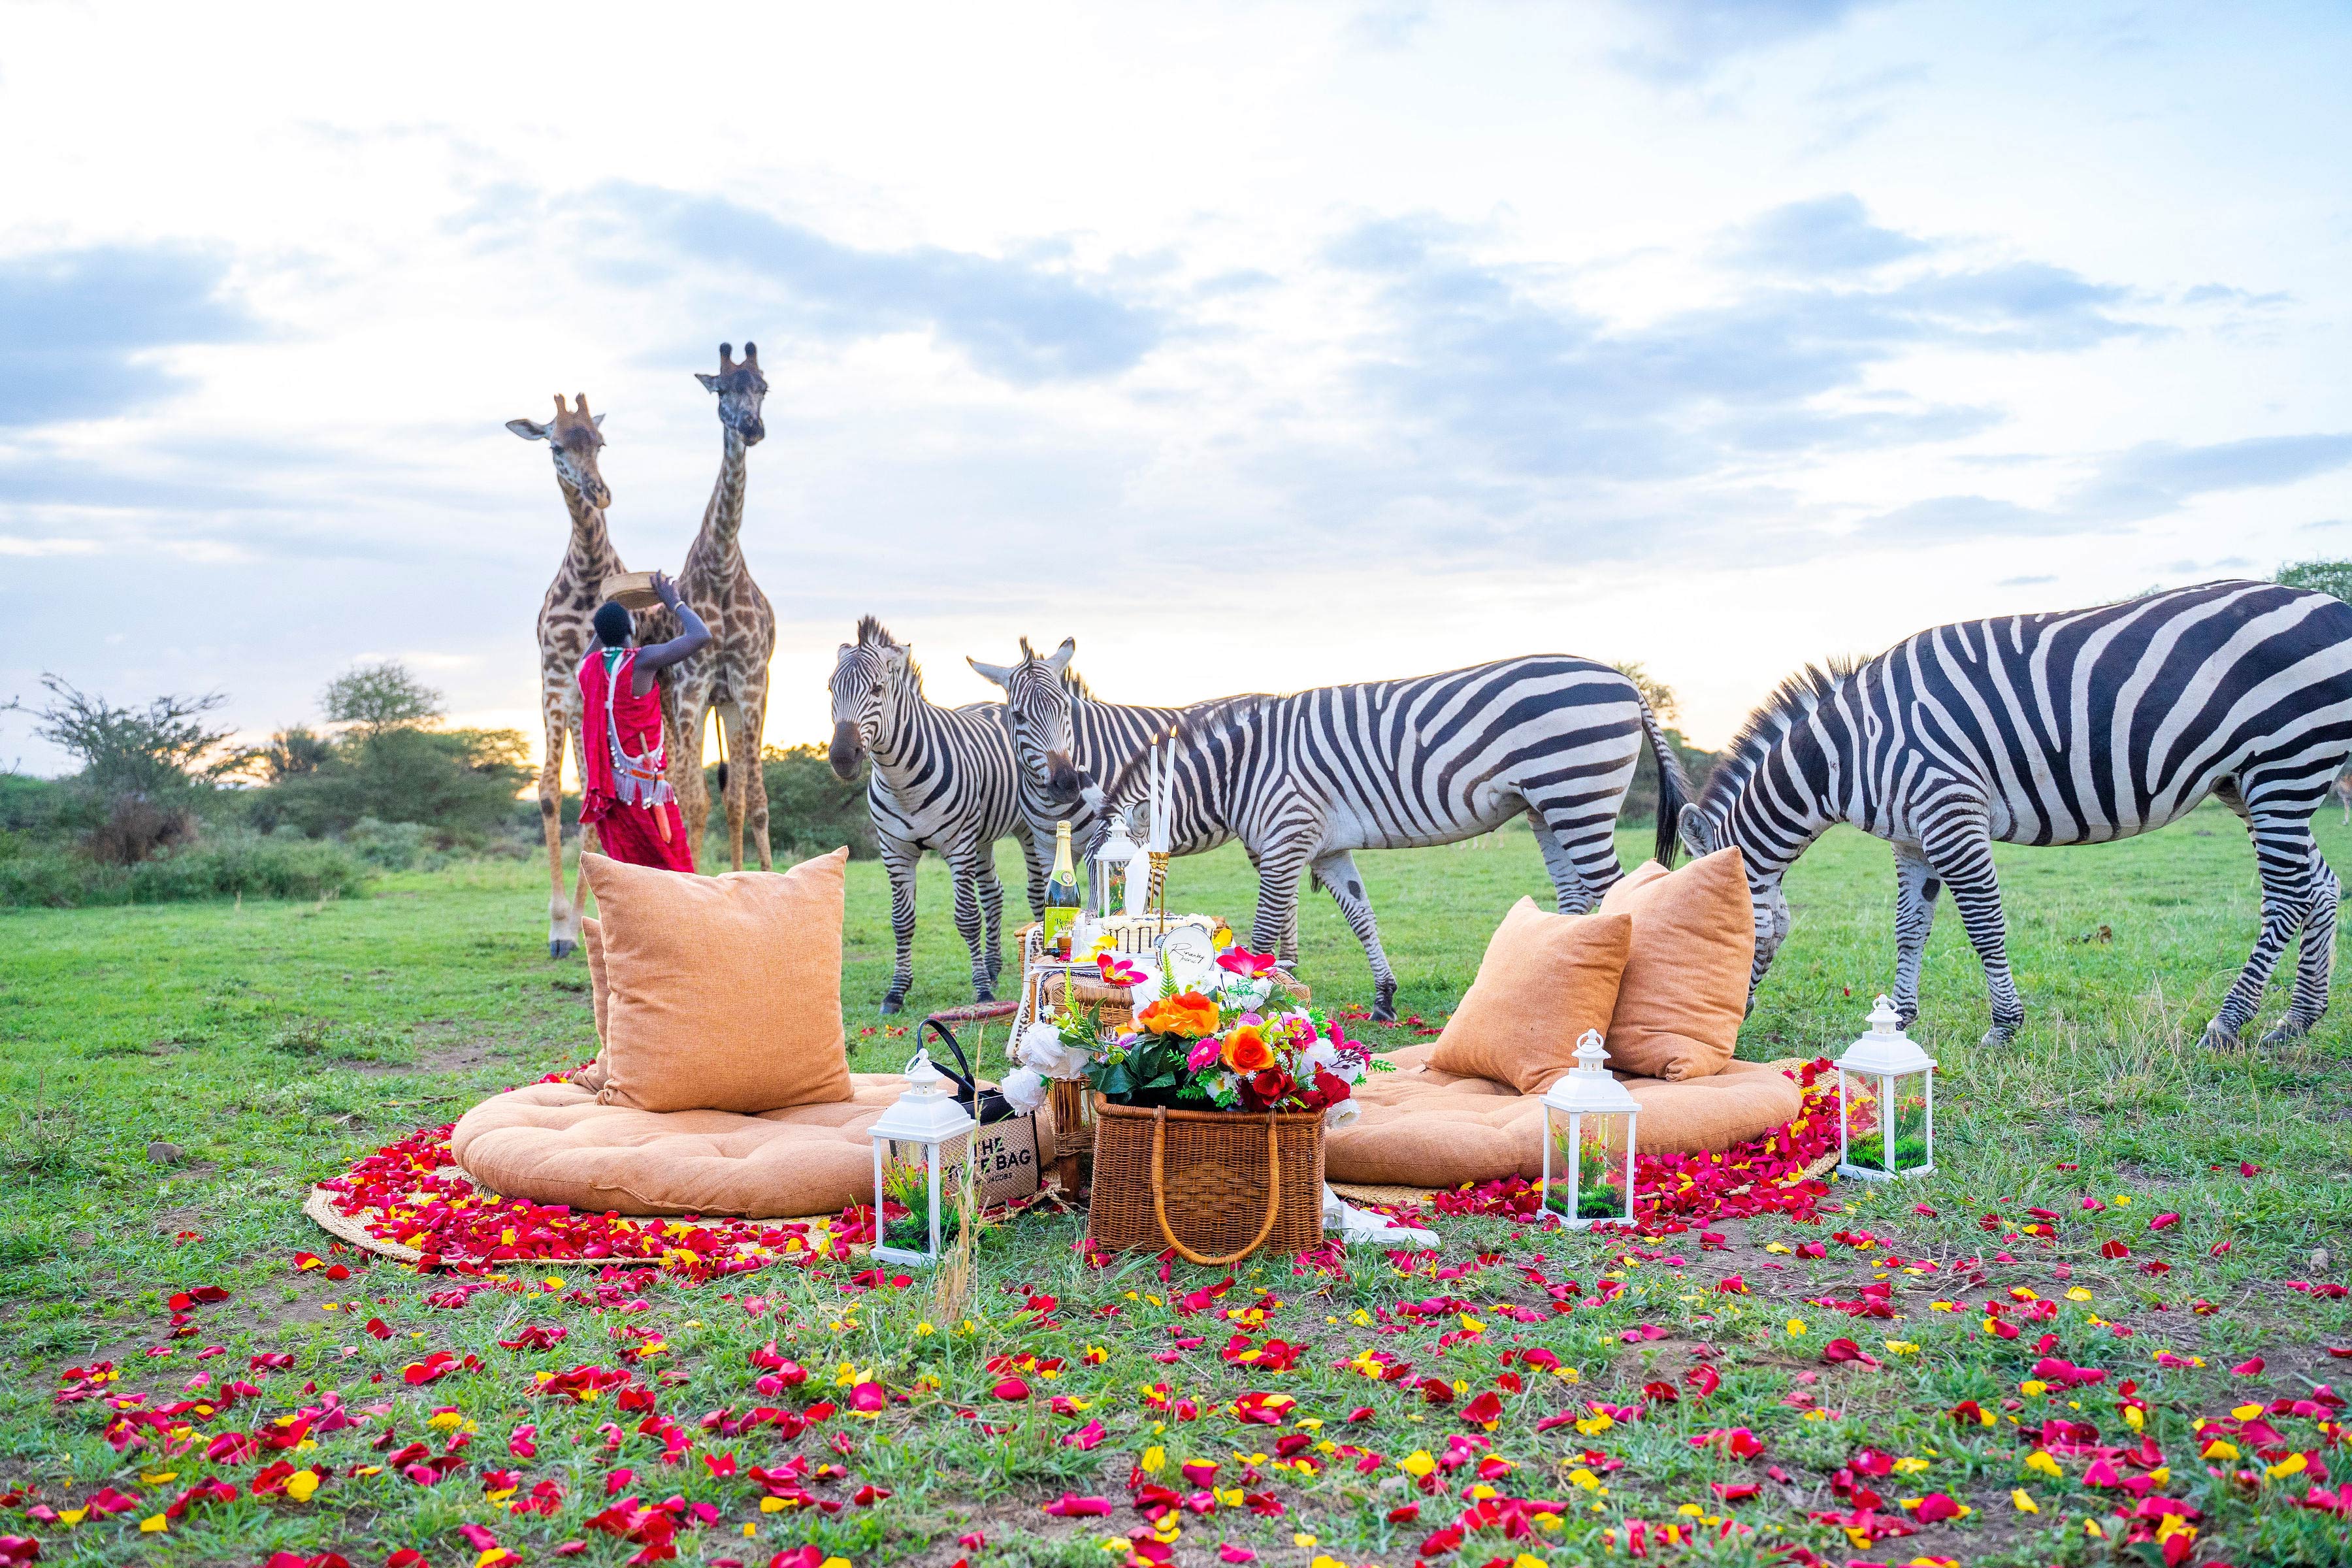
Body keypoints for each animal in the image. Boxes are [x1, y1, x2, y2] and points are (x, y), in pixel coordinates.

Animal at [641, 342, 776, 870]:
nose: (752, 428)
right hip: (674, 705)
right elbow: (694, 800)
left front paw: (762, 878)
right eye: (721, 390)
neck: (721, 567)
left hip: (725, 704)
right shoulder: (691, 687)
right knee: (680, 787)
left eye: (763, 387)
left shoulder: (750, 685)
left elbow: (751, 800)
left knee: (731, 795)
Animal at [829, 617, 1043, 1013]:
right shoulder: (895, 850)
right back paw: (993, 967)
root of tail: (994, 702)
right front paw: (896, 992)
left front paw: (982, 992)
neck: (902, 783)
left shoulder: (958, 845)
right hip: (982, 838)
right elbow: (901, 921)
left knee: (1035, 892)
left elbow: (967, 917)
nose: (842, 758)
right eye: (830, 688)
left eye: (878, 689)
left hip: (1024, 830)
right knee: (994, 893)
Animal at [982, 643, 1688, 1021]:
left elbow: (1266, 931)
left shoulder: (1286, 837)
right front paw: (1384, 998)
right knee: (1577, 899)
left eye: (1117, 874)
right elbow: (1361, 916)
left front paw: (1254, 1005)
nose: (1086, 943)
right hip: (1545, 808)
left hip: (1575, 791)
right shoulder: (1325, 848)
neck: (1238, 773)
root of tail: (1625, 681)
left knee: (1617, 890)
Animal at [1681, 579, 2352, 1049]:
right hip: (2250, 781)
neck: (1849, 751)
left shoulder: (1950, 811)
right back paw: (2297, 1020)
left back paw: (2227, 1024)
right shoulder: (1911, 839)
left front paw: (2004, 1027)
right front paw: (1900, 1018)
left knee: (2288, 896)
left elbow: (1984, 925)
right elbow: (1909, 927)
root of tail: (2334, 606)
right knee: (2321, 885)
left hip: (2284, 763)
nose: (1726, 1029)